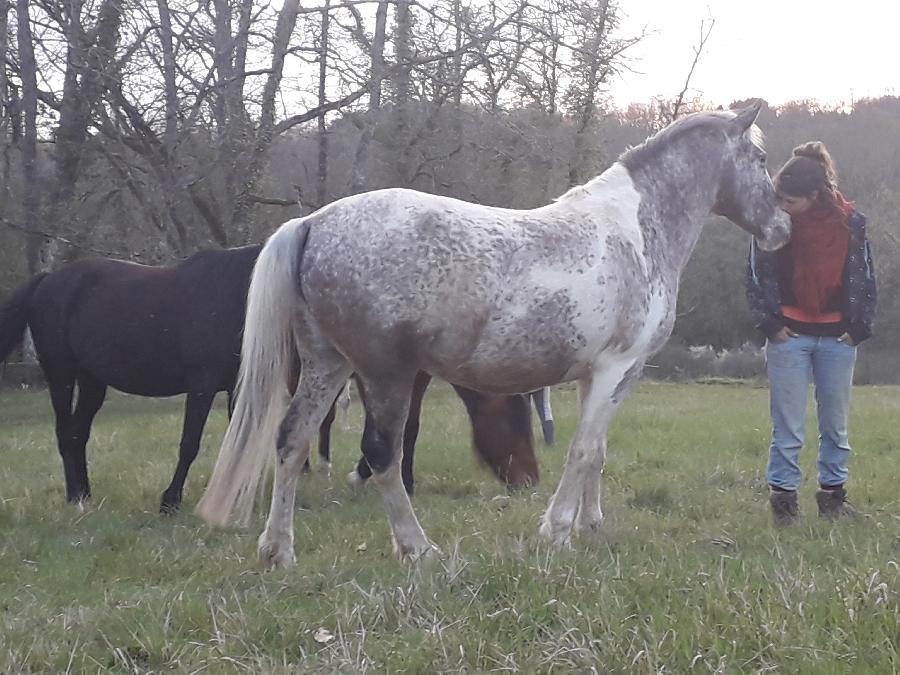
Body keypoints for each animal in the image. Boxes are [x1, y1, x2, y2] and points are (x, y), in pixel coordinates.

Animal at [0, 247, 536, 512]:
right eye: (516, 420)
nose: (529, 482)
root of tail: (49, 279)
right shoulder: (204, 385)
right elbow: (190, 444)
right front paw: (171, 501)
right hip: (62, 375)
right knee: (65, 433)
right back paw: (77, 498)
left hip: (93, 382)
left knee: (78, 434)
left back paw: (84, 494)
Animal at [195, 100, 788, 568]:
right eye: (761, 161)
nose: (781, 229)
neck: (636, 231)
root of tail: (314, 222)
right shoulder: (616, 367)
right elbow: (580, 451)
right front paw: (556, 532)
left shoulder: (604, 374)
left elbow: (596, 450)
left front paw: (591, 526)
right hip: (385, 374)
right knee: (382, 455)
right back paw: (417, 549)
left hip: (327, 364)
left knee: (292, 440)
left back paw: (279, 551)